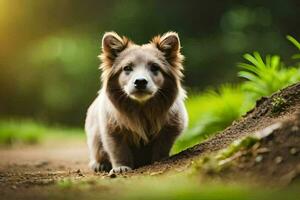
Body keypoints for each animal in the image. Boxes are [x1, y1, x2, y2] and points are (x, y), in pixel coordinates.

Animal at [85, 31, 188, 173]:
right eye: (127, 68)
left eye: (155, 67)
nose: (140, 81)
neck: (142, 108)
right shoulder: (111, 129)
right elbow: (118, 150)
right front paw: (121, 167)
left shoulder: (172, 126)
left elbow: (162, 146)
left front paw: (159, 160)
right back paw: (99, 164)